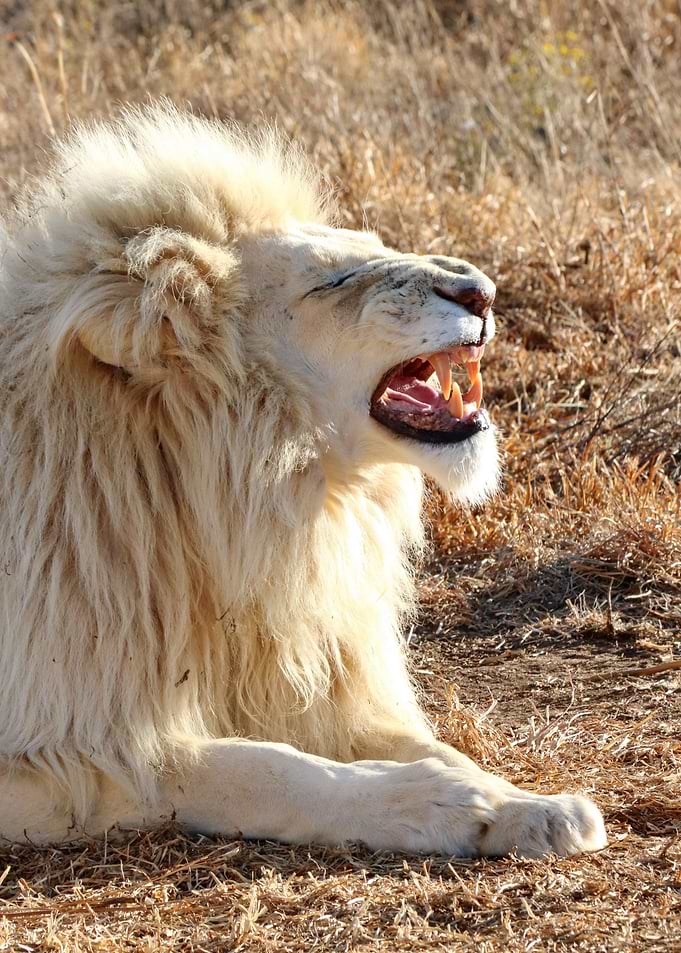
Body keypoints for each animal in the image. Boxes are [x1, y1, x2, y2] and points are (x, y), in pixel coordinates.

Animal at [0, 106, 606, 857]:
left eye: (373, 244)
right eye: (332, 283)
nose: (482, 291)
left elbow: (430, 745)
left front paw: (522, 803)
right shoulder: (70, 746)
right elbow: (256, 769)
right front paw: (440, 803)